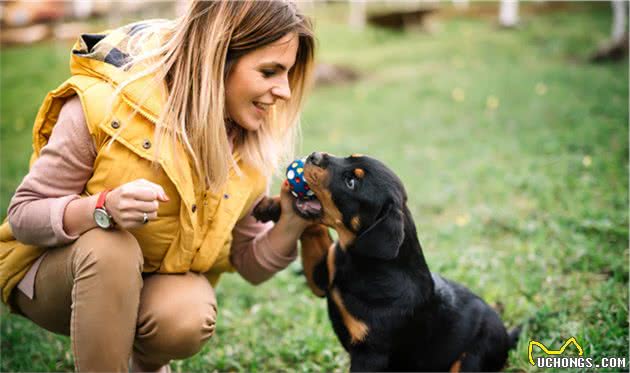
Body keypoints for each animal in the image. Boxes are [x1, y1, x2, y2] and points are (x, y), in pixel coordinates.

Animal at [254, 152, 520, 372]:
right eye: (349, 157)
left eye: (352, 182)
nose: (313, 155)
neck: (362, 261)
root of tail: (507, 337)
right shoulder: (322, 277)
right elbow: (313, 228)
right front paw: (273, 205)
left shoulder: (370, 354)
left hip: (472, 357)